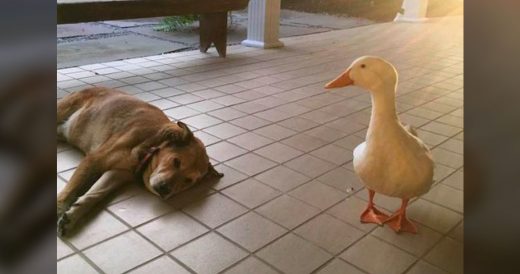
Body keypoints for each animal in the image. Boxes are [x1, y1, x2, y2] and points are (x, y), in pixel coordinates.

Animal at [56, 87, 221, 235]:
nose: (165, 190)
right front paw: (59, 209)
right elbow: (69, 192)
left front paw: (73, 215)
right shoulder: (94, 160)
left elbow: (95, 194)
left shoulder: (118, 173)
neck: (150, 147)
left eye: (188, 181)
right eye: (176, 161)